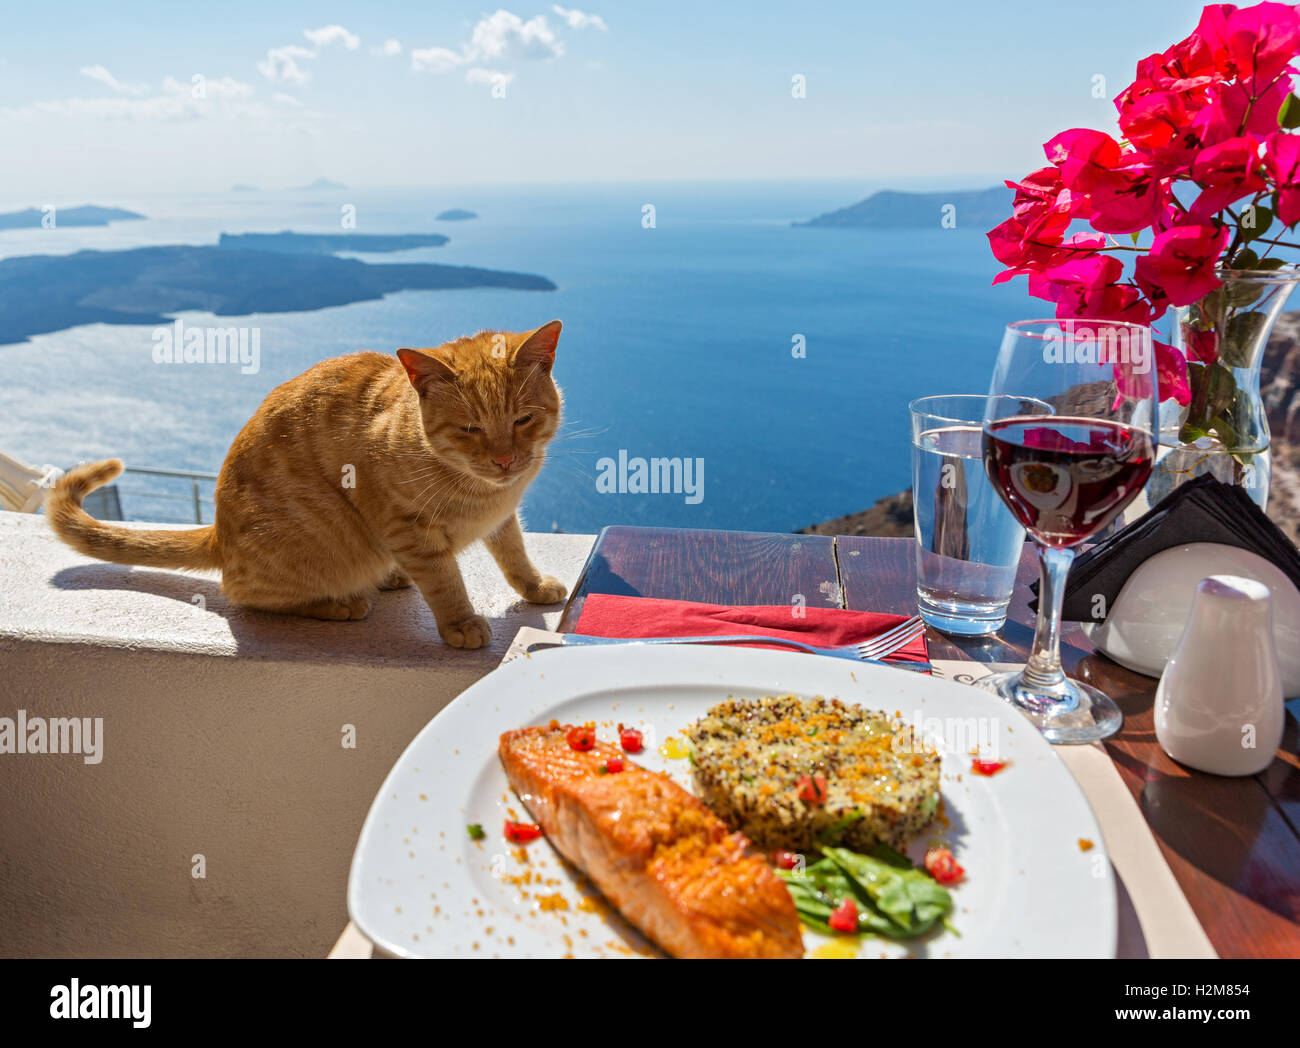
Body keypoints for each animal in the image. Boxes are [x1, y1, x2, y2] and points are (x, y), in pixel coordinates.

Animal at [48, 319, 566, 647]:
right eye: (470, 428)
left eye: (522, 419)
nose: (504, 459)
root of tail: (218, 533)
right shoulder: (408, 530)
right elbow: (444, 581)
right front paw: (460, 622)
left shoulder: (502, 517)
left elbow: (515, 555)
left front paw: (534, 587)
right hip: (323, 535)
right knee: (245, 594)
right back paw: (339, 604)